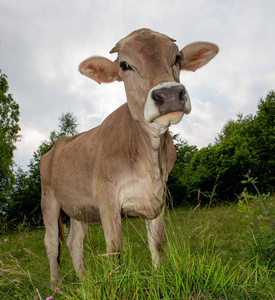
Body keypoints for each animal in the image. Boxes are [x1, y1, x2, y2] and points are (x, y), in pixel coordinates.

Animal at [40, 28, 219, 284]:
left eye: (177, 58)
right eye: (125, 65)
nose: (169, 94)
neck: (149, 155)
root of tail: (60, 141)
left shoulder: (159, 195)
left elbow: (157, 244)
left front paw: (158, 279)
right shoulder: (107, 195)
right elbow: (116, 250)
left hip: (78, 207)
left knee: (74, 243)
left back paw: (84, 283)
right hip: (49, 199)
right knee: (51, 243)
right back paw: (56, 285)